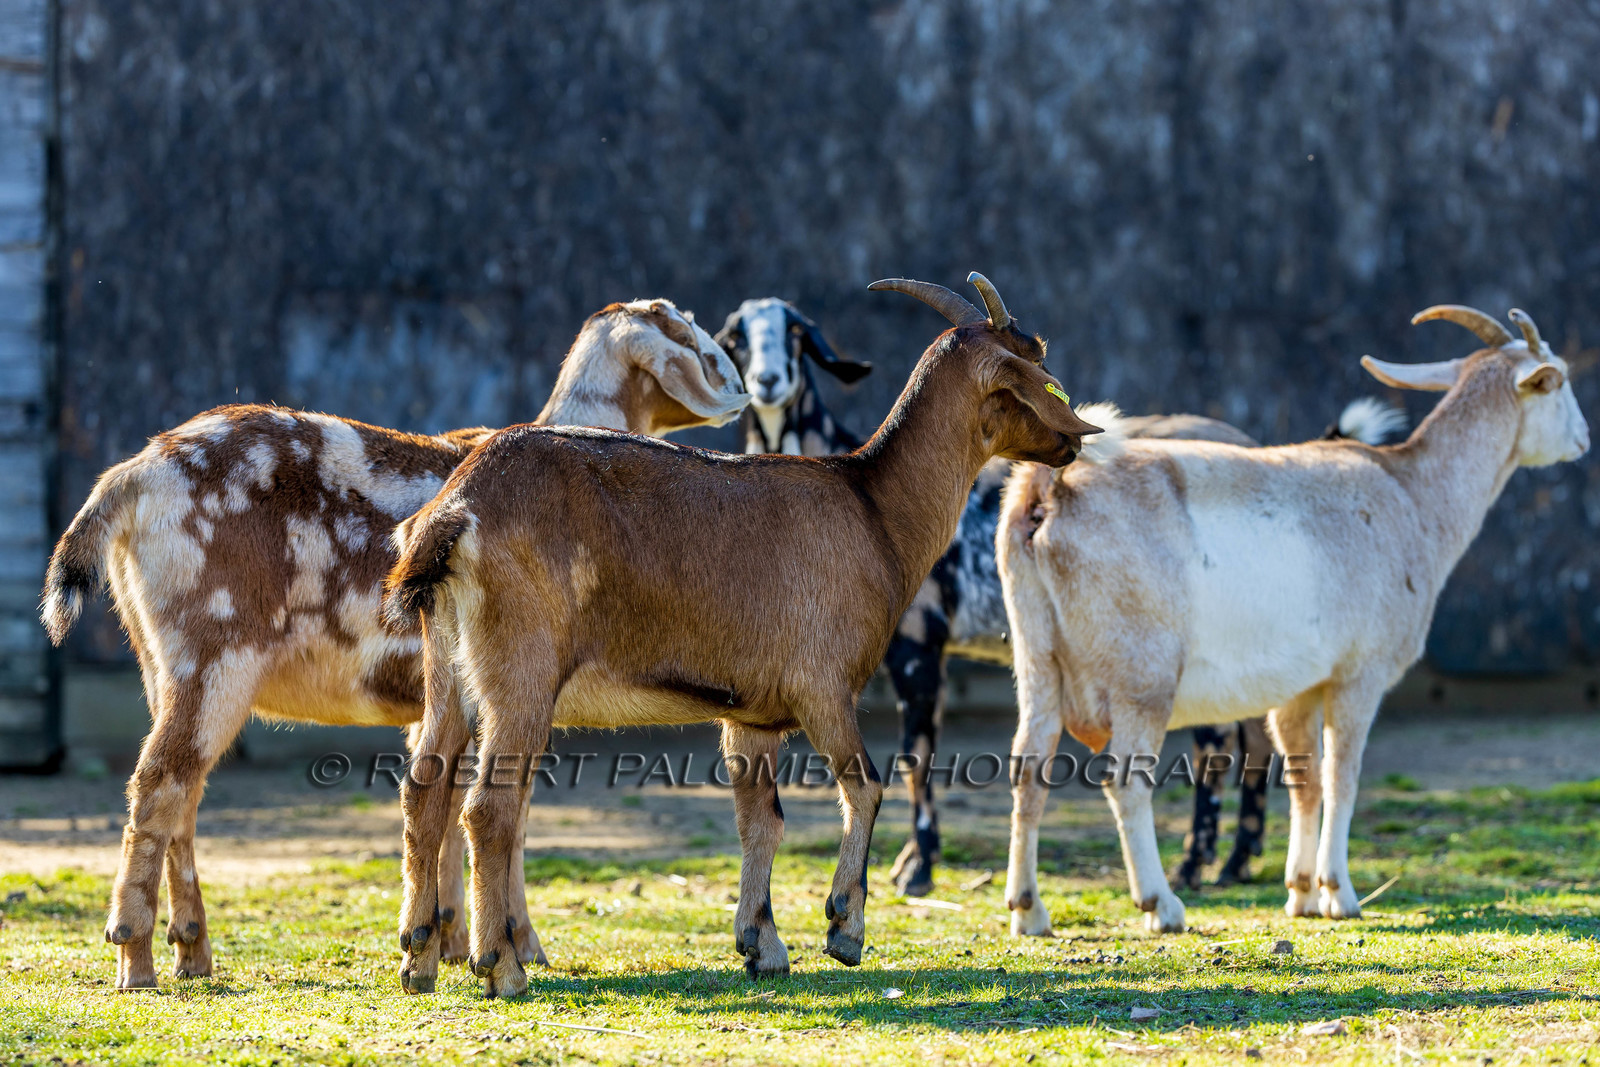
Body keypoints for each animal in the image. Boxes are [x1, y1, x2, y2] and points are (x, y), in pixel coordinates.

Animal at [40, 298, 748, 989]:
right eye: (687, 328)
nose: (745, 385)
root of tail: (132, 476)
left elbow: (451, 807)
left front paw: (450, 940)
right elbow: (507, 817)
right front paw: (516, 944)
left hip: (159, 663)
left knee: (180, 795)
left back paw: (191, 950)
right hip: (215, 655)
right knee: (160, 783)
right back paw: (136, 958)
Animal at [998, 306, 1588, 935]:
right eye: (1558, 382)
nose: (1582, 438)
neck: (1412, 494)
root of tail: (1048, 489)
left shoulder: (1297, 689)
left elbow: (1305, 781)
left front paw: (1301, 892)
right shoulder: (1359, 673)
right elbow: (1342, 775)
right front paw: (1338, 892)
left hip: (1037, 659)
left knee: (1028, 769)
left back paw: (1029, 909)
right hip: (1142, 675)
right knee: (1126, 781)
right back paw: (1162, 903)